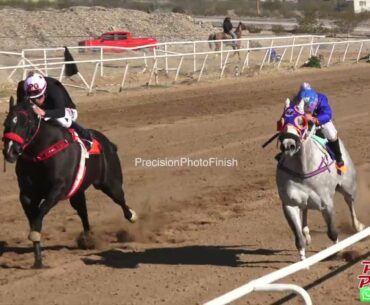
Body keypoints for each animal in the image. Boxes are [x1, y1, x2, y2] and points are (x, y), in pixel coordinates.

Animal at [1, 96, 137, 268]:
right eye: (6, 123)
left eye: (26, 124)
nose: (10, 151)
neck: (41, 152)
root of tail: (108, 143)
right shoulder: (26, 195)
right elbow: (34, 218)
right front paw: (38, 261)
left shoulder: (59, 189)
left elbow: (41, 213)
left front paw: (36, 239)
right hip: (78, 191)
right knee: (83, 211)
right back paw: (88, 239)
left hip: (110, 183)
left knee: (120, 200)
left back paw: (132, 216)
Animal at [276, 98, 362, 260]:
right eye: (281, 121)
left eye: (301, 121)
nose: (288, 145)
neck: (303, 169)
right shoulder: (289, 205)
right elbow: (299, 240)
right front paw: (303, 260)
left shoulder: (326, 204)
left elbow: (332, 232)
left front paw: (338, 251)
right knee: (305, 210)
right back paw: (307, 233)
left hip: (348, 186)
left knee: (350, 203)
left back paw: (358, 226)